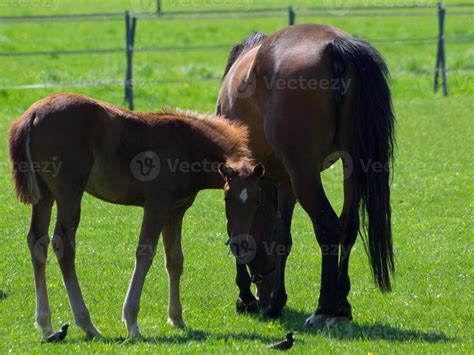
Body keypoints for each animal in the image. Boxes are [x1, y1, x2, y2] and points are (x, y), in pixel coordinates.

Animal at [9, 92, 266, 340]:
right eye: (227, 199)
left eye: (256, 201)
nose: (241, 245)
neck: (186, 144)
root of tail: (32, 114)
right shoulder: (157, 205)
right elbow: (145, 254)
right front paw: (131, 322)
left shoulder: (176, 210)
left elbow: (175, 260)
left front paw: (177, 319)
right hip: (69, 193)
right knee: (63, 244)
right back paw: (87, 325)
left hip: (44, 194)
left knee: (37, 240)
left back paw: (46, 325)